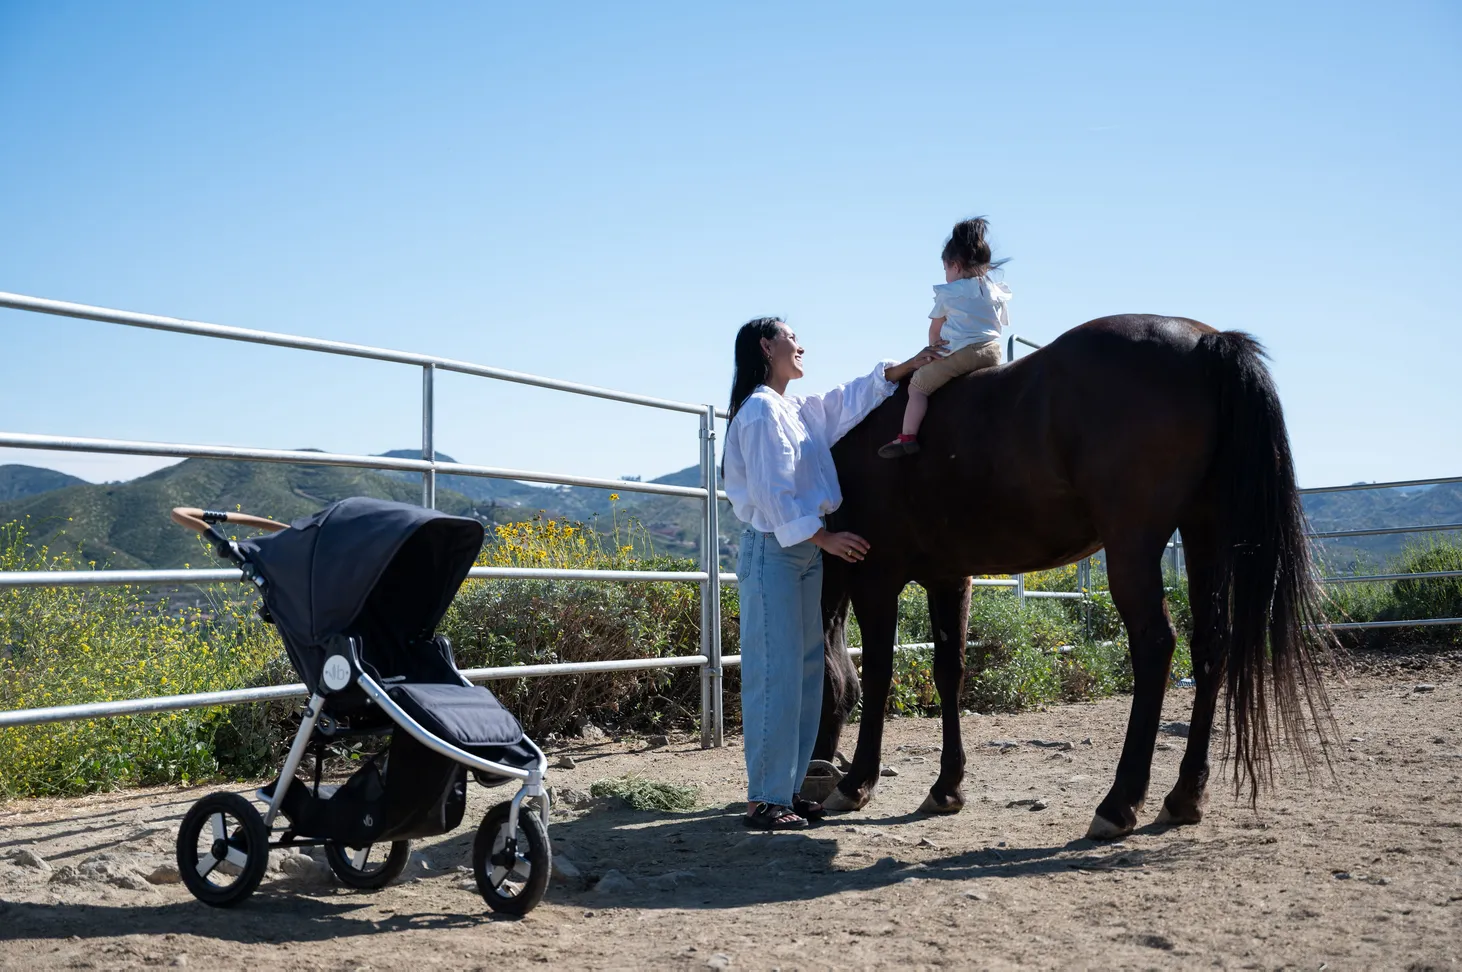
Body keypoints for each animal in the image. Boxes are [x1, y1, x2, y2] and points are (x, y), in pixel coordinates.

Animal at [818, 314, 1333, 836]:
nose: (815, 777)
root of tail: (1208, 342)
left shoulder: (874, 577)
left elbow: (877, 671)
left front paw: (857, 783)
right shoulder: (949, 579)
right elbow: (949, 671)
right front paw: (946, 787)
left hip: (1134, 544)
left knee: (1155, 644)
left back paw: (1118, 802)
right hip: (1203, 533)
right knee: (1209, 645)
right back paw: (1184, 796)